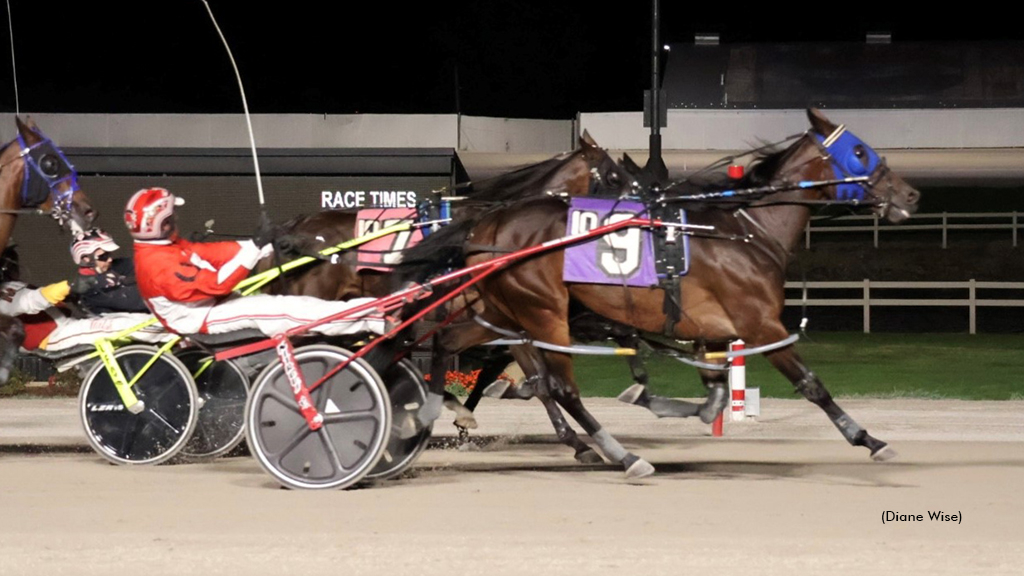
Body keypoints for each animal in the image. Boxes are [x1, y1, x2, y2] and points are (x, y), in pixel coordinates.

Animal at [387, 107, 925, 475]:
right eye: (859, 151)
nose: (911, 195)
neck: (746, 231)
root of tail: (491, 224)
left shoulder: (711, 329)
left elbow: (713, 393)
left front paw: (656, 400)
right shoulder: (760, 324)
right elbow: (811, 384)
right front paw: (869, 439)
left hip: (503, 311)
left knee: (451, 346)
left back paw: (433, 412)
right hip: (543, 312)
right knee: (558, 385)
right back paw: (619, 454)